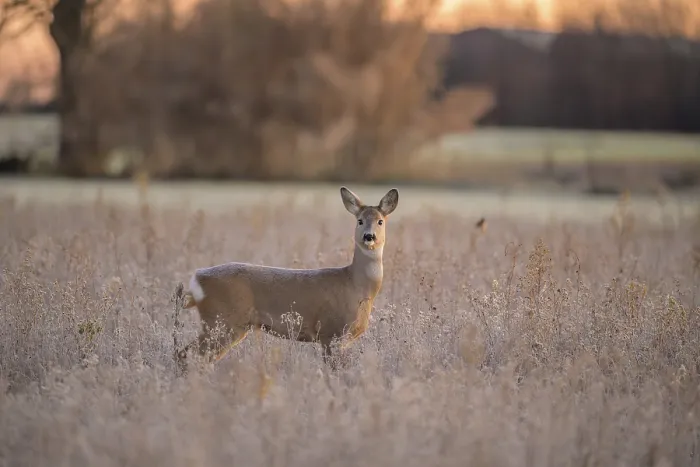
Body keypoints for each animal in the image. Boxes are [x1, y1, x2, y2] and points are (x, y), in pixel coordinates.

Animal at [176, 186, 399, 369]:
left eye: (380, 221)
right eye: (360, 220)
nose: (369, 236)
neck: (356, 285)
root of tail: (197, 279)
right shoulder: (331, 331)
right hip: (222, 321)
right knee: (187, 354)